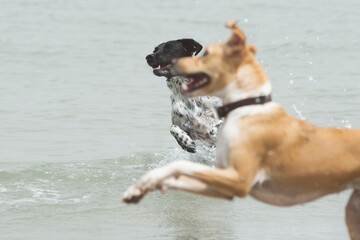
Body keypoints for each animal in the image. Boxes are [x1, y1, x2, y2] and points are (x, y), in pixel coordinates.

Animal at [123, 20, 360, 238]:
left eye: (168, 49)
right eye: (155, 49)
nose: (149, 57)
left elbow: (215, 127)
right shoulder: (181, 122)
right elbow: (174, 128)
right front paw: (186, 142)